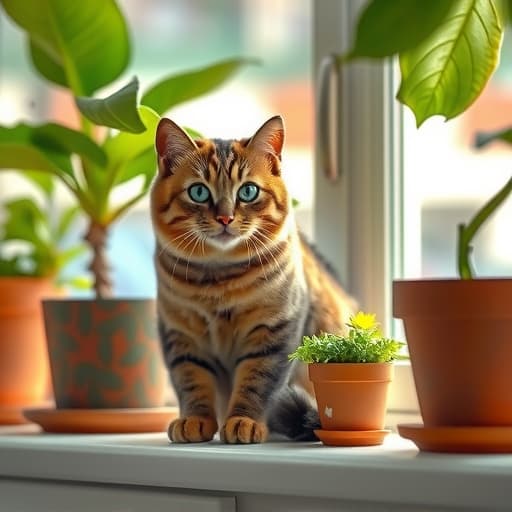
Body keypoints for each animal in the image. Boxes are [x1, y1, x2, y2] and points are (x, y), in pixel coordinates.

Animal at [150, 116, 354, 444]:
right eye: (198, 192)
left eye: (248, 192)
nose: (225, 218)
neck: (218, 279)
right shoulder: (180, 335)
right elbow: (192, 382)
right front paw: (194, 420)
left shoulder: (274, 330)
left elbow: (257, 383)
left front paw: (243, 421)